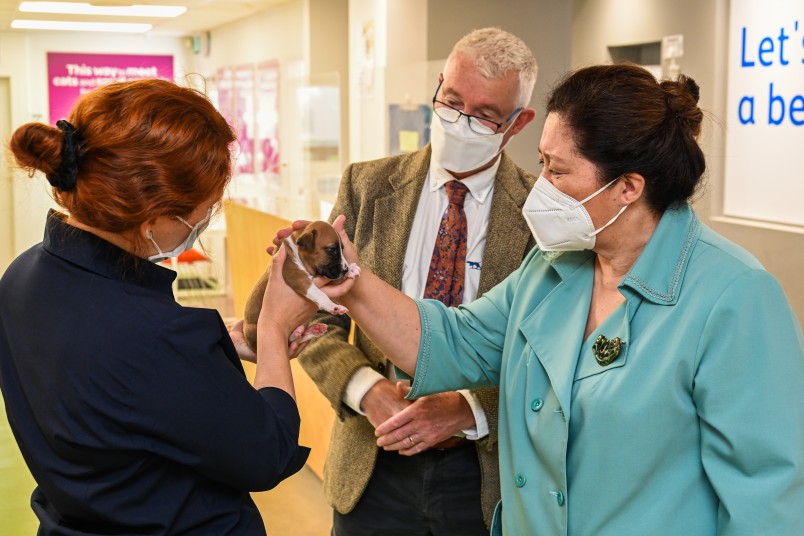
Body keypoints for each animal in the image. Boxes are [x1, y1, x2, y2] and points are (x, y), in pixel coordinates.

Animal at [242, 220, 362, 354]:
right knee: (288, 341)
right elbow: (319, 293)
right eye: (331, 250)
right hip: (253, 330)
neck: (297, 251)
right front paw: (333, 306)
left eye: (342, 249)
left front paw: (351, 269)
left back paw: (312, 330)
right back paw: (298, 332)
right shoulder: (297, 277)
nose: (345, 269)